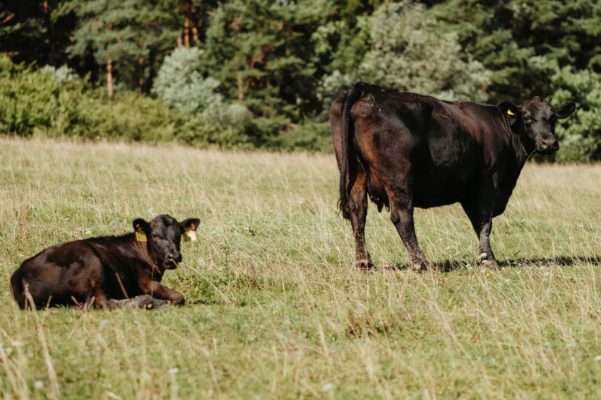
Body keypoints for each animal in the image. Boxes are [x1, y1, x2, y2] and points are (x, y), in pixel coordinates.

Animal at [9, 216, 199, 310]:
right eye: (155, 235)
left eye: (178, 235)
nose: (173, 256)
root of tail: (18, 275)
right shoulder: (144, 281)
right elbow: (179, 297)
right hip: (92, 261)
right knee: (102, 303)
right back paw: (147, 302)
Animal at [330, 83, 576, 272]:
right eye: (527, 117)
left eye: (552, 118)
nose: (549, 142)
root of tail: (368, 90)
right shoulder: (487, 183)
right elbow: (485, 223)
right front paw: (488, 259)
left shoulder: (468, 191)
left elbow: (478, 224)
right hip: (398, 178)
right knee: (402, 217)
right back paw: (421, 263)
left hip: (355, 173)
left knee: (358, 213)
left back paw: (364, 263)